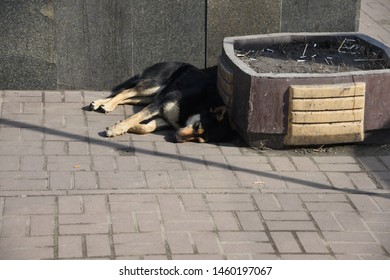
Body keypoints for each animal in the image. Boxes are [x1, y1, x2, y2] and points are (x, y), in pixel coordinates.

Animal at [89, 62, 235, 143]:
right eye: (197, 126)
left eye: (199, 140)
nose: (177, 138)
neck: (199, 105)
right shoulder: (160, 104)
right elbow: (136, 117)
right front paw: (117, 129)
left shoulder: (166, 117)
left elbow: (147, 127)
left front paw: (130, 128)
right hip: (153, 86)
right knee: (125, 92)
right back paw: (107, 105)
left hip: (149, 96)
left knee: (126, 96)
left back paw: (101, 103)